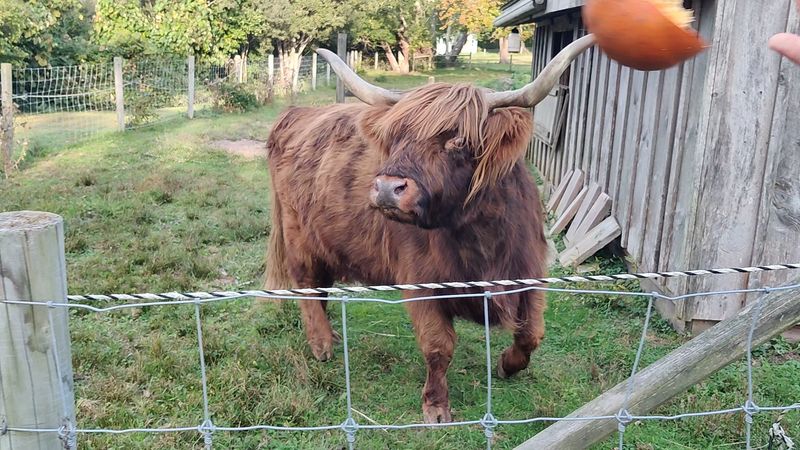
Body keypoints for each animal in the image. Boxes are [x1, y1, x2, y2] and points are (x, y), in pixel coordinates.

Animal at [262, 35, 596, 424]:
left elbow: (531, 334)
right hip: (298, 234)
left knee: (321, 287)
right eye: (395, 137)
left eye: (457, 140)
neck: (479, 240)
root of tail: (297, 113)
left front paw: (506, 366)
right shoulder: (420, 280)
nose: (387, 188)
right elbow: (438, 346)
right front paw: (436, 407)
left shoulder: (528, 271)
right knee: (305, 284)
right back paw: (323, 344)